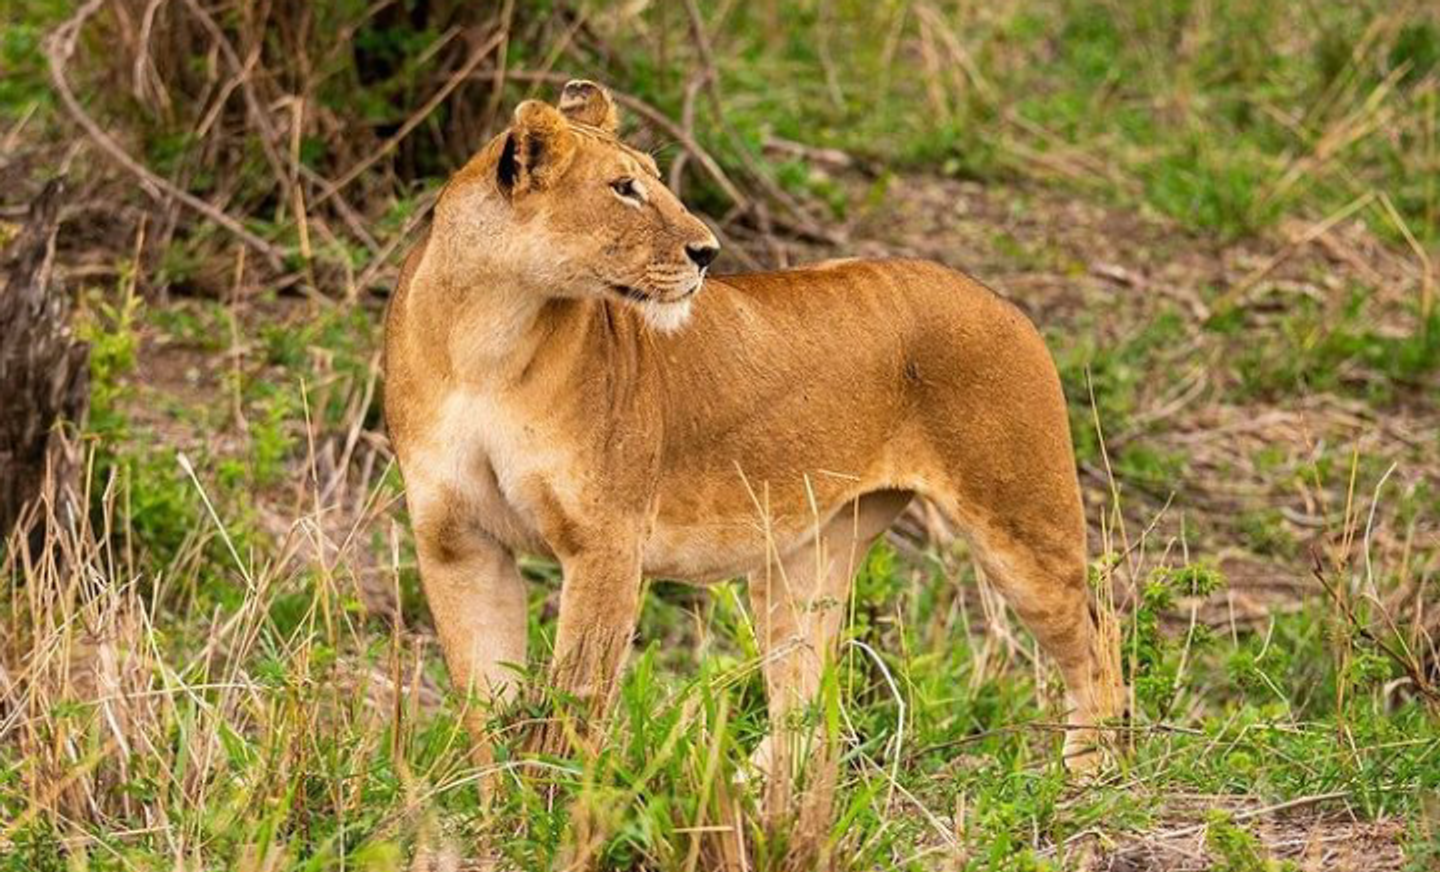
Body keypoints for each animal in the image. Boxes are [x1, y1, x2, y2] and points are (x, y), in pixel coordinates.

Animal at [383, 80, 1125, 805]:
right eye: (623, 188)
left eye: (654, 181)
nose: (707, 252)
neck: (487, 335)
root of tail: (1003, 302)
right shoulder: (457, 539)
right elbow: (486, 696)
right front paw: (496, 808)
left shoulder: (605, 539)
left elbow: (575, 696)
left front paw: (549, 808)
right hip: (811, 552)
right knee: (806, 697)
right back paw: (748, 793)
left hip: (1019, 523)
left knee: (1097, 628)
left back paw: (1090, 774)